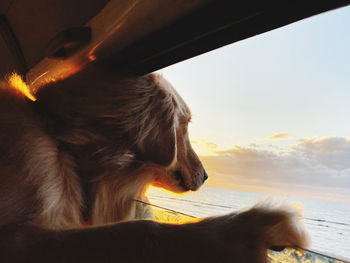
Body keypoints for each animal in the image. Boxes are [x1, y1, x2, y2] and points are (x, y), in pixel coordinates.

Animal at [0, 67, 306, 262]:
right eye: (186, 125)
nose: (206, 176)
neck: (63, 146)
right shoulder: (17, 240)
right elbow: (142, 230)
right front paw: (232, 234)